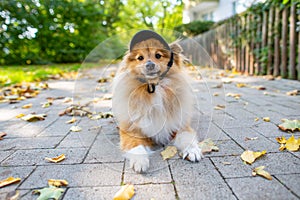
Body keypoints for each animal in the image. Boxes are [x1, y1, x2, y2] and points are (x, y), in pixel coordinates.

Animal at [112, 30, 204, 173]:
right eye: (140, 58)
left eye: (158, 55)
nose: (149, 64)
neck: (155, 90)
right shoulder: (131, 130)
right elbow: (135, 146)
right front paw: (140, 161)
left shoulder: (180, 126)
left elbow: (186, 137)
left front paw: (192, 151)